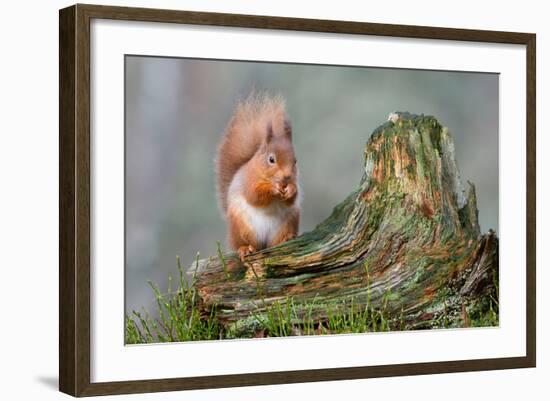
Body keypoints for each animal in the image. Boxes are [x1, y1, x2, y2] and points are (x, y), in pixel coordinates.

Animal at [216, 93, 302, 260]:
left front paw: (291, 190)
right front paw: (273, 189)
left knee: (274, 243)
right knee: (245, 244)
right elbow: (255, 196)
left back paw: (286, 238)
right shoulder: (248, 181)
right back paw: (245, 249)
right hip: (241, 226)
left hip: (289, 221)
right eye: (271, 159)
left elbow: (292, 199)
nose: (287, 176)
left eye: (295, 161)